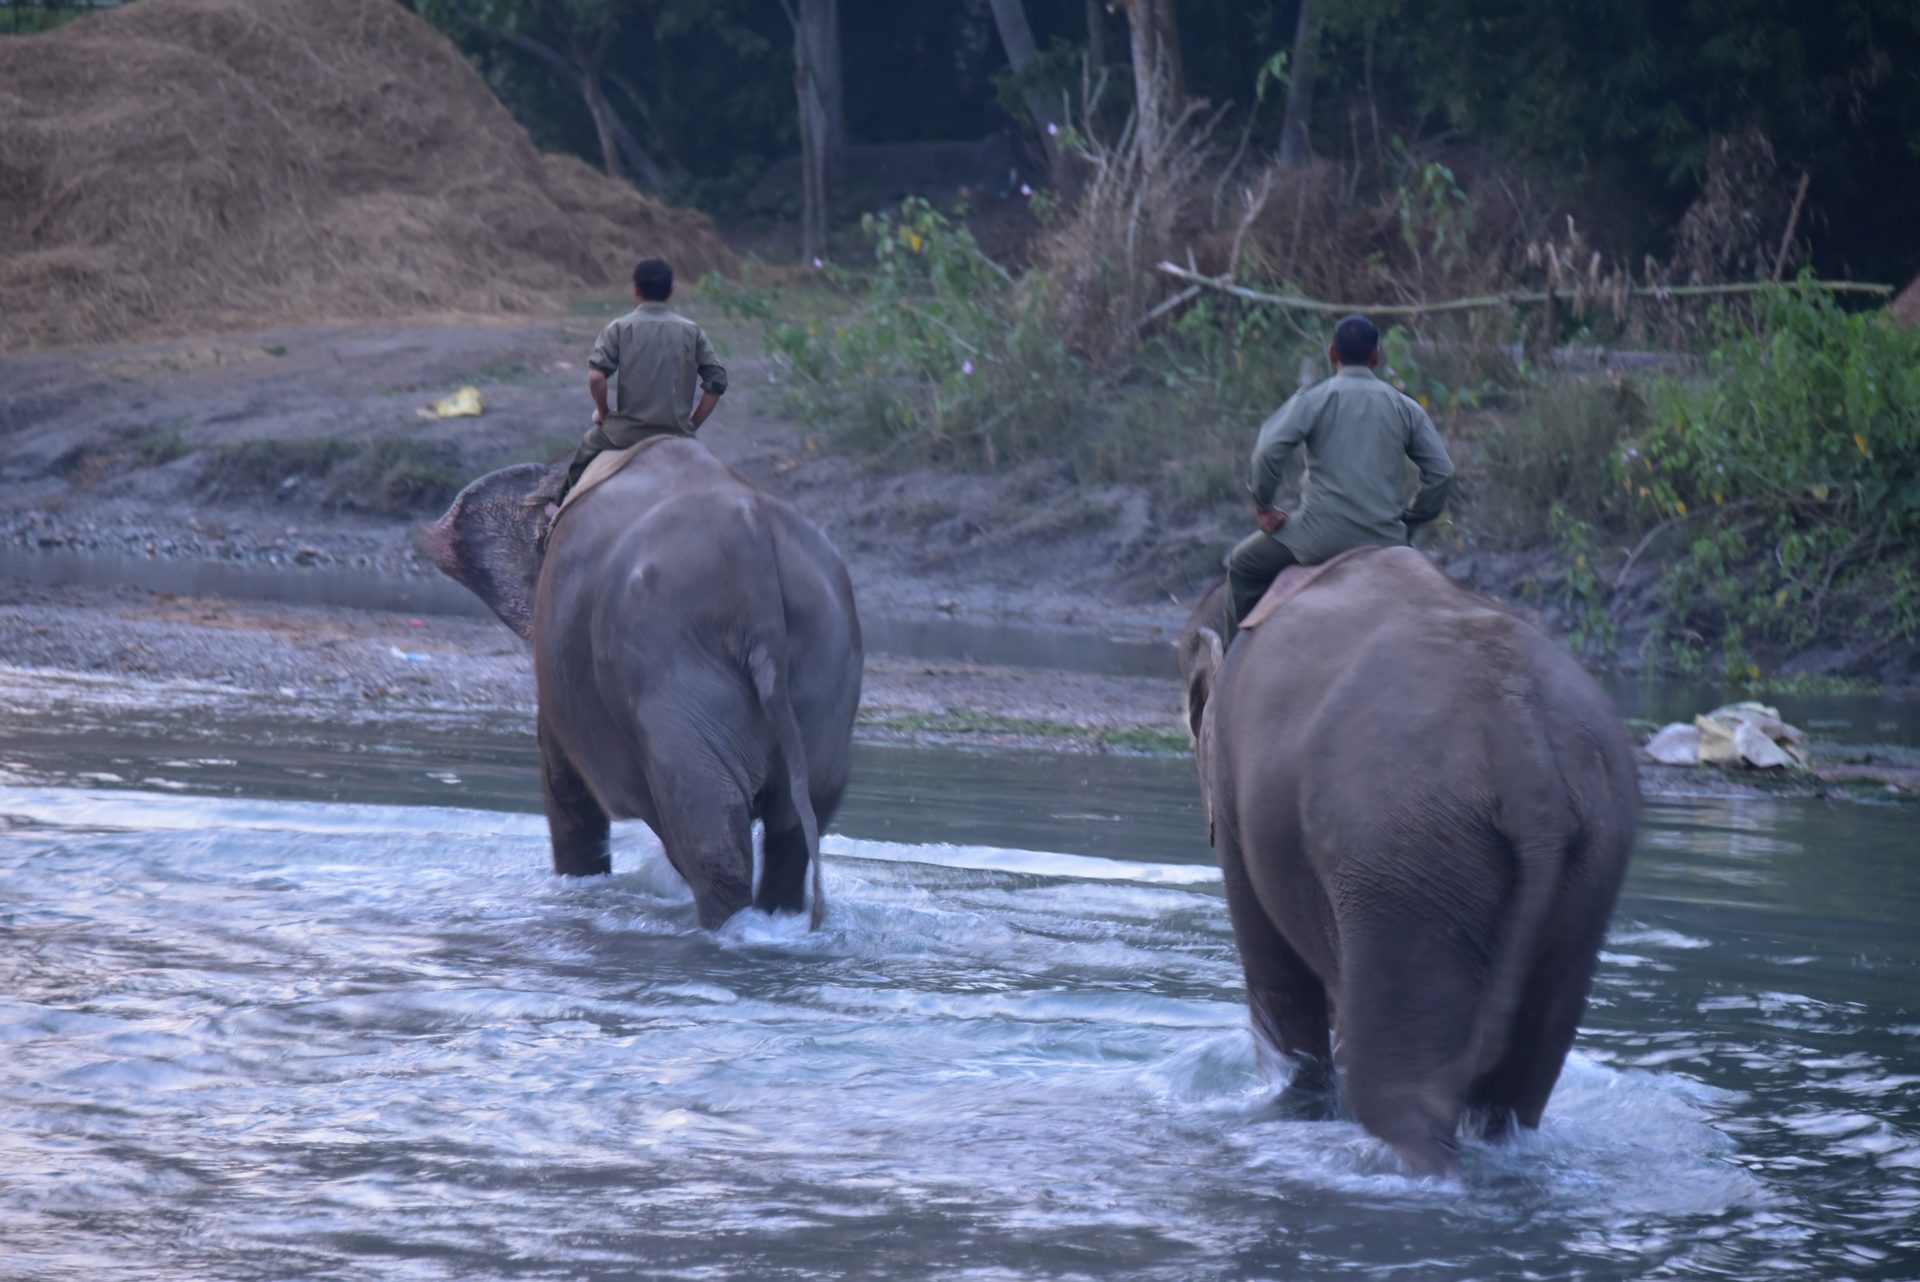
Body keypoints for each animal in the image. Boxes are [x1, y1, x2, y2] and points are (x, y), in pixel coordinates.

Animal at [419, 437, 862, 929]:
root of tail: (754, 550)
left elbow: (565, 786)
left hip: (671, 675)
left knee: (708, 832)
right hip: (827, 672)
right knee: (797, 826)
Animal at [1177, 546, 1637, 1176]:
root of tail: (1522, 747)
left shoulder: (1235, 796)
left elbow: (1279, 983)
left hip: (1403, 856)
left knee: (1403, 1091)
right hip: (1588, 858)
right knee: (1517, 1086)